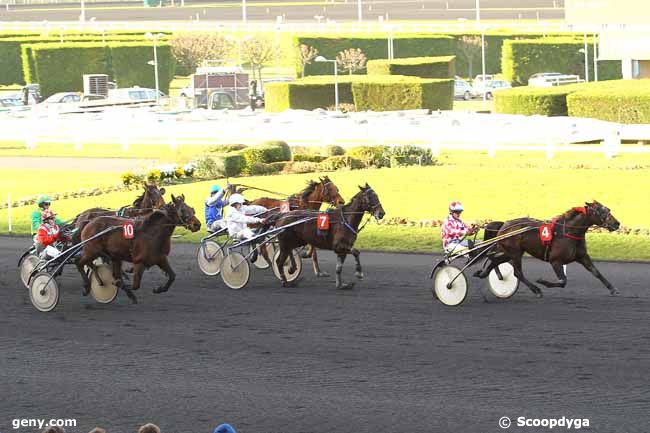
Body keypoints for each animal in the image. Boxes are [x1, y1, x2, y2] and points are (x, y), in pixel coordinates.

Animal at [474, 200, 620, 296]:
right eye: (602, 211)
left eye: (608, 209)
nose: (617, 223)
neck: (567, 232)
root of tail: (504, 224)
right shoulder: (555, 260)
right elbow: (562, 281)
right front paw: (543, 282)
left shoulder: (582, 257)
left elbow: (596, 272)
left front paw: (613, 289)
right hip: (515, 253)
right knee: (517, 272)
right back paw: (536, 290)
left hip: (510, 251)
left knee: (495, 260)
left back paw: (483, 273)